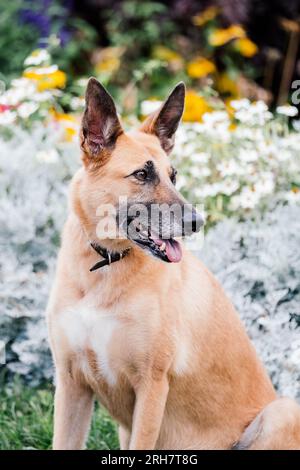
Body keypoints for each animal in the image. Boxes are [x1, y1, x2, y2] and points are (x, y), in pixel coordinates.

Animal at [46, 79, 300, 450]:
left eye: (173, 176)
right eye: (141, 174)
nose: (197, 222)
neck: (106, 266)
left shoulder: (152, 386)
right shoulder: (71, 384)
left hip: (283, 411)